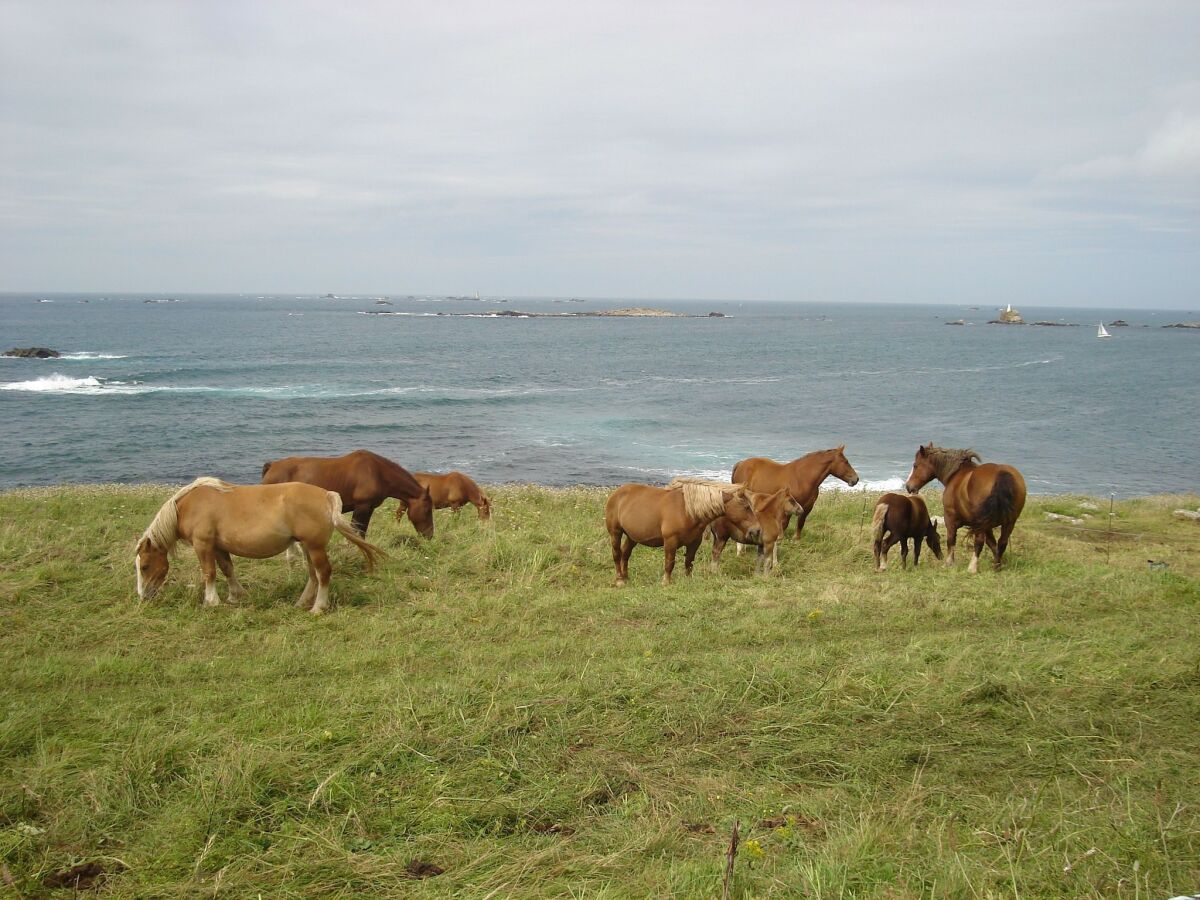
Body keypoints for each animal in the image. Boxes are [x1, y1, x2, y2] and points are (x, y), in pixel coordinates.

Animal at [135, 480, 384, 614]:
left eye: (144, 566)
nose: (143, 596)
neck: (190, 506)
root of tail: (327, 495)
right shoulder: (218, 546)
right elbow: (227, 569)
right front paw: (235, 596)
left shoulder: (203, 544)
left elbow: (209, 573)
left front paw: (211, 601)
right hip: (307, 547)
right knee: (313, 575)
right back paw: (302, 603)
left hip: (314, 547)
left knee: (323, 573)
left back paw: (318, 607)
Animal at [260, 448, 434, 540]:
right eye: (427, 510)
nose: (430, 535)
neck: (377, 472)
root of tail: (272, 466)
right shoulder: (362, 507)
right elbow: (357, 532)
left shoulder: (368, 508)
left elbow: (362, 532)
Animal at [604, 482, 763, 588]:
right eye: (746, 507)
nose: (757, 530)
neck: (687, 511)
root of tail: (616, 494)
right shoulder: (670, 541)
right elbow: (670, 563)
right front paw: (666, 582)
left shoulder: (694, 542)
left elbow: (689, 562)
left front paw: (688, 580)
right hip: (615, 533)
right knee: (617, 554)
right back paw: (619, 580)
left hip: (632, 537)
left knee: (625, 554)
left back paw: (626, 578)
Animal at [724, 446, 859, 542]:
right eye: (846, 461)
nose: (856, 479)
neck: (802, 478)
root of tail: (741, 464)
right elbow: (784, 524)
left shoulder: (807, 507)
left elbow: (801, 523)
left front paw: (796, 539)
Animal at [902, 446, 1027, 578]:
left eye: (915, 465)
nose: (908, 487)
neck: (956, 475)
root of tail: (1001, 473)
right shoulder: (987, 526)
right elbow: (992, 543)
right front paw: (997, 563)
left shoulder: (950, 518)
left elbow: (951, 540)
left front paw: (948, 563)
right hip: (1009, 522)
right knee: (1002, 542)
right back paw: (996, 566)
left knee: (979, 541)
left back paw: (972, 567)